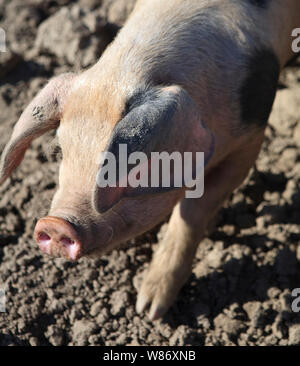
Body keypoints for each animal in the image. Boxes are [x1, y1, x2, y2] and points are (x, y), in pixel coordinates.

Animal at [0, 0, 300, 320]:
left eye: (136, 169)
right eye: (60, 151)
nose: (55, 224)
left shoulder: (252, 135)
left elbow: (192, 212)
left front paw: (150, 309)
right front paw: (145, 308)